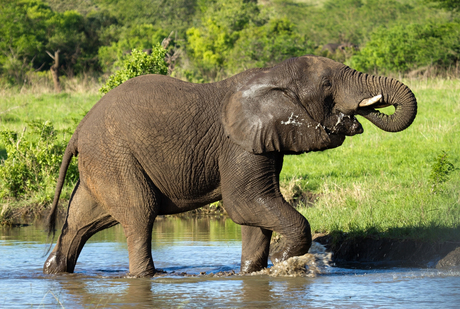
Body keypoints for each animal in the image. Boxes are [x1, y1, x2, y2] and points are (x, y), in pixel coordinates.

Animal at [44, 54, 416, 276]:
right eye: (327, 86)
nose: (354, 117)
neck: (269, 74)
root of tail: (77, 130)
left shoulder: (262, 139)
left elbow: (257, 212)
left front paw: (255, 272)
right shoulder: (237, 145)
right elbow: (245, 204)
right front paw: (283, 261)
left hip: (102, 162)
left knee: (80, 221)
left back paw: (53, 271)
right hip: (114, 155)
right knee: (140, 213)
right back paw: (146, 276)